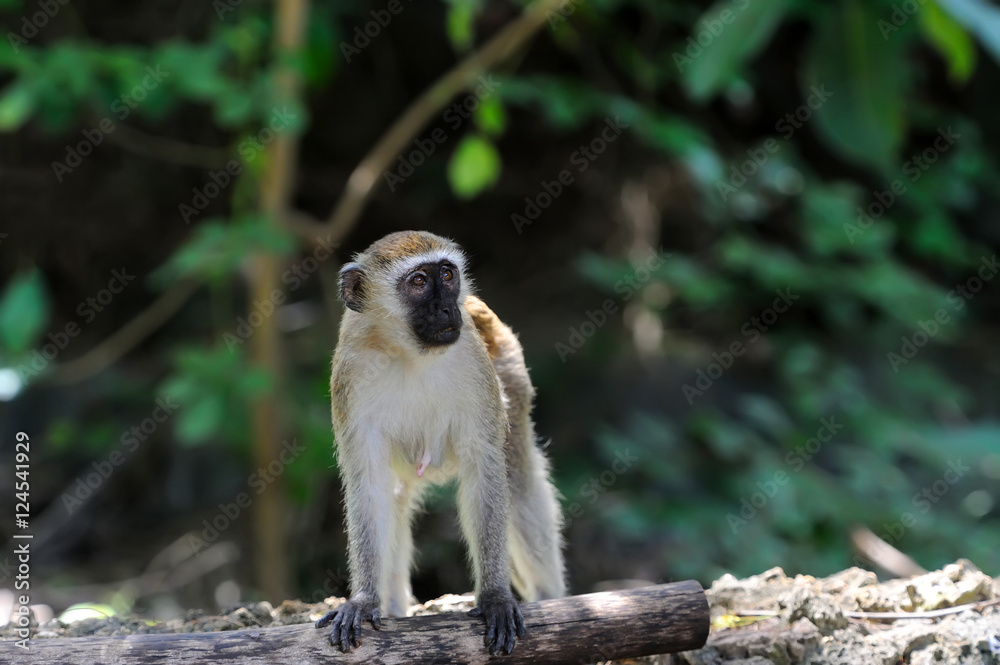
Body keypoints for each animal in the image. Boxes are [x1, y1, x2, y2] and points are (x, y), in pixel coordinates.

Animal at [315, 231, 566, 656]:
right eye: (418, 282)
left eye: (447, 275)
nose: (447, 308)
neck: (409, 353)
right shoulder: (351, 372)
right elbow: (370, 487)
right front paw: (364, 600)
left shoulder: (475, 366)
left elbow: (485, 473)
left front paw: (495, 597)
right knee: (395, 496)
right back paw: (393, 607)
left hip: (509, 373)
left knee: (517, 480)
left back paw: (552, 598)